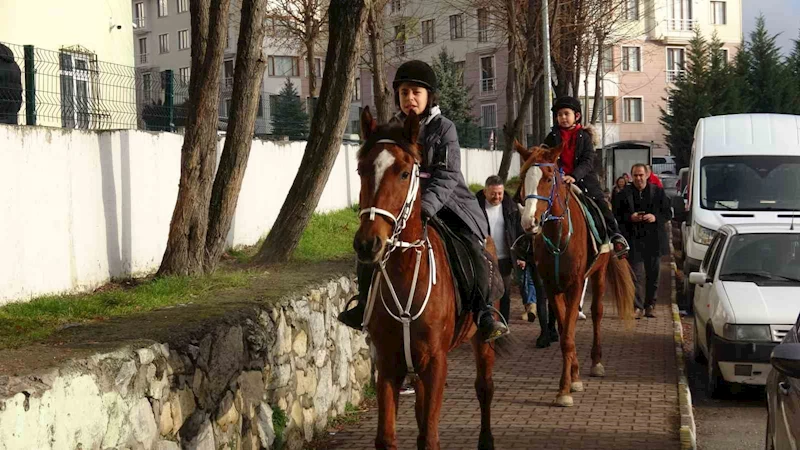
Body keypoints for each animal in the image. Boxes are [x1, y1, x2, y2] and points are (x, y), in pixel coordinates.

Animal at [354, 107, 510, 448]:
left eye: (403, 173)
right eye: (360, 170)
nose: (367, 243)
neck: (405, 272)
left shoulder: (437, 363)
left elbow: (430, 437)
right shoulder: (389, 363)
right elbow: (387, 437)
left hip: (482, 341)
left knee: (485, 387)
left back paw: (487, 439)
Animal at [516, 142, 636, 408]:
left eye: (548, 178)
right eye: (523, 178)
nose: (529, 222)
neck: (558, 234)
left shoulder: (575, 285)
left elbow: (569, 337)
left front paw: (565, 389)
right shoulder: (552, 287)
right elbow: (564, 333)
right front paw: (573, 378)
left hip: (599, 273)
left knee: (597, 314)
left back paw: (597, 362)